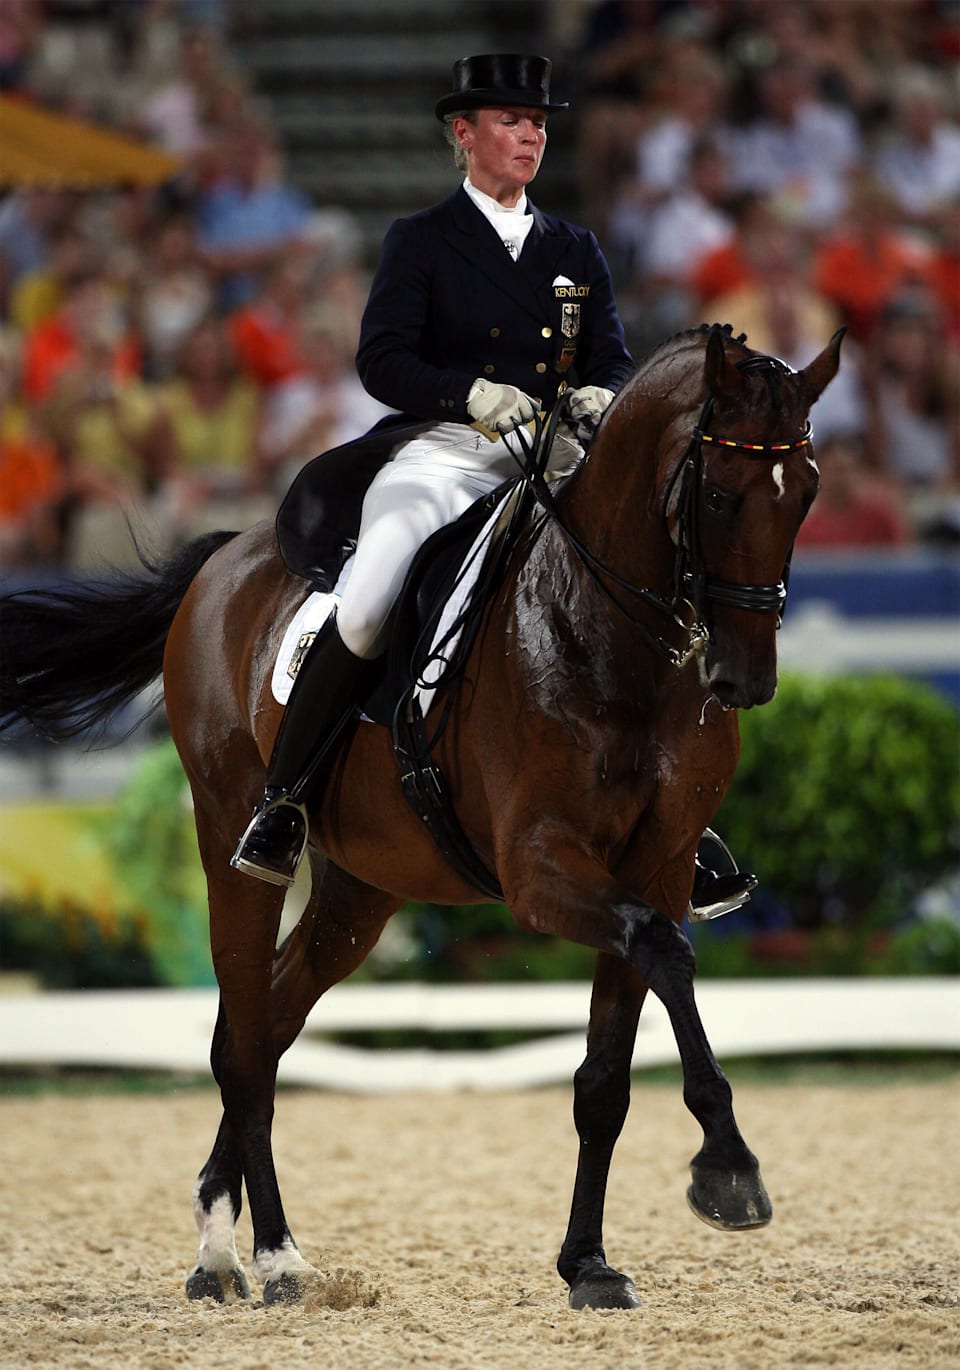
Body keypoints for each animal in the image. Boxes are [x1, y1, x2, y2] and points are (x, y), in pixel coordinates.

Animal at [0, 322, 842, 1311]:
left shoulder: (659, 867)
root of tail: (226, 559)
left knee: (264, 1022)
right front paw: (729, 1170)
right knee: (244, 1041)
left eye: (808, 492)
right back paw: (273, 1258)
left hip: (361, 889)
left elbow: (607, 1073)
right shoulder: (540, 869)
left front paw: (588, 1265)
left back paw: (218, 1245)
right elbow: (666, 954)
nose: (744, 682)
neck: (610, 635)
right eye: (716, 491)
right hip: (229, 839)